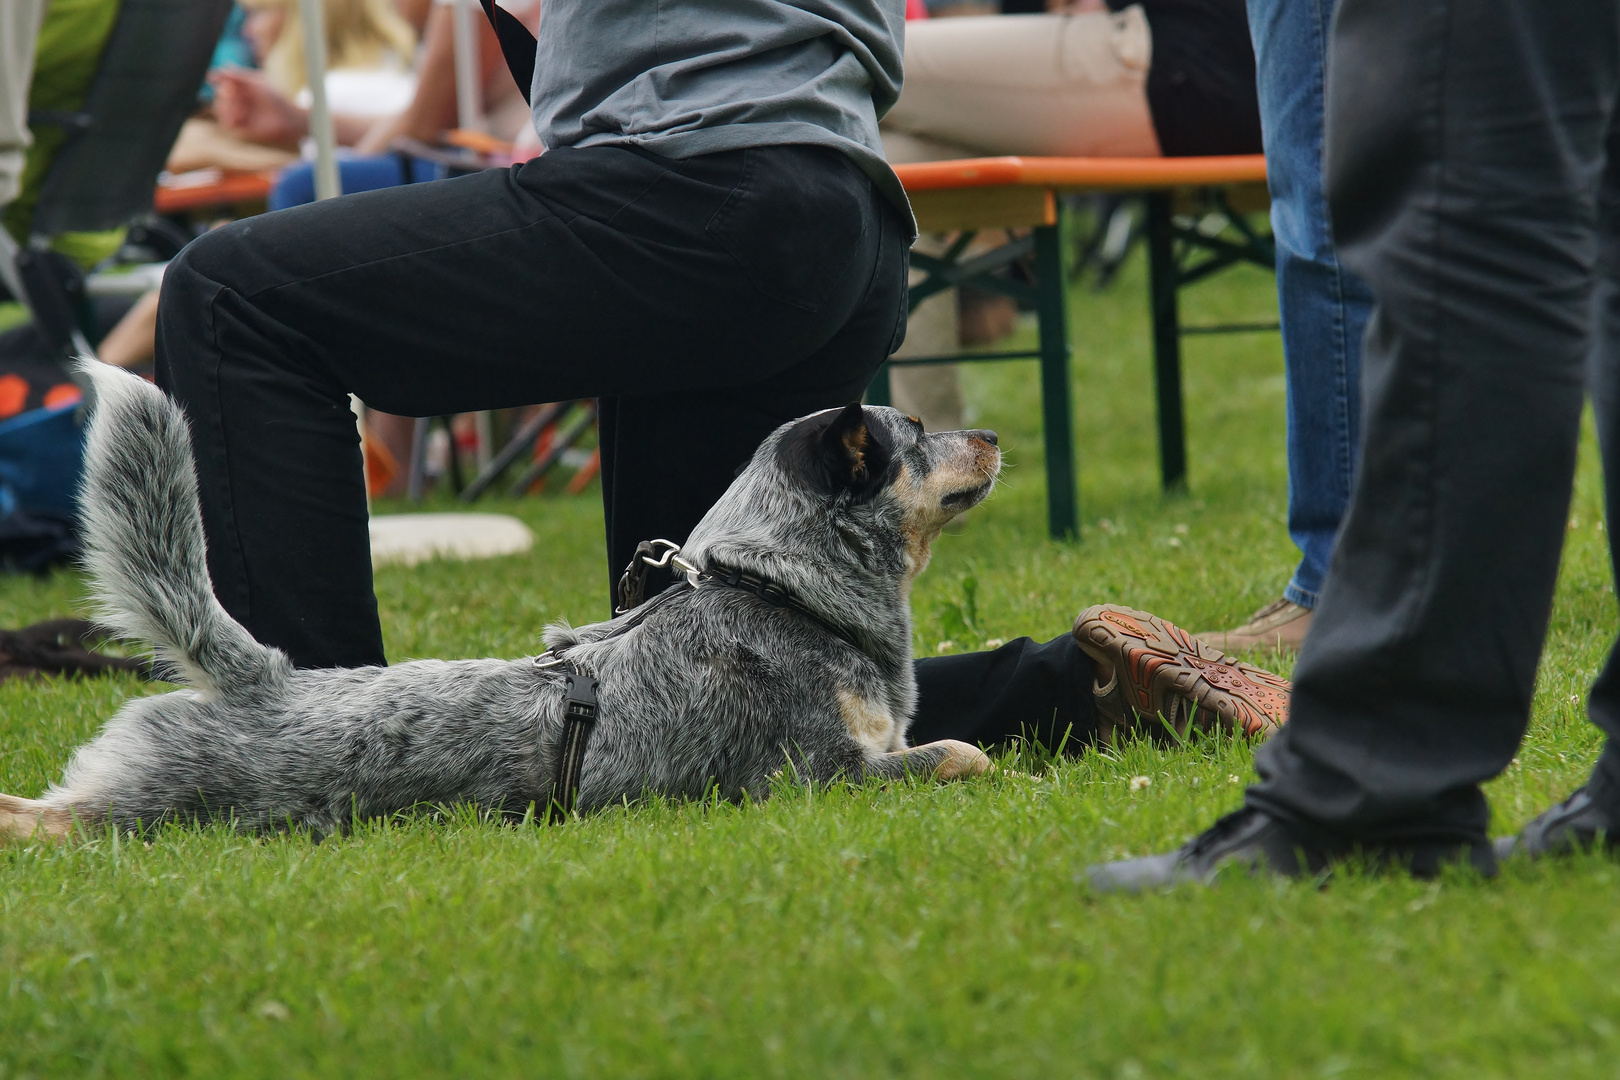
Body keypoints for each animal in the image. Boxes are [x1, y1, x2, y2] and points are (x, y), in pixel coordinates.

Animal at [0, 365, 997, 841]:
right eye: (916, 432)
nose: (989, 432)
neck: (777, 585)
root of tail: (265, 680)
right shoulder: (817, 777)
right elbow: (964, 753)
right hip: (151, 808)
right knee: (55, 822)